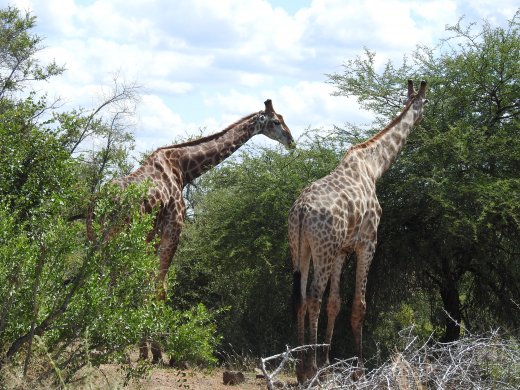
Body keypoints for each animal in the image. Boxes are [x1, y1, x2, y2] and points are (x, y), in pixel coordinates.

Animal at [87, 99, 294, 362]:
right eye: (276, 121)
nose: (291, 141)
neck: (184, 169)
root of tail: (96, 205)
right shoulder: (174, 227)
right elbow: (160, 289)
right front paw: (157, 353)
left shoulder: (151, 236)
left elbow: (146, 285)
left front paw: (144, 351)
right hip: (113, 238)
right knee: (106, 282)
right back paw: (107, 348)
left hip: (96, 240)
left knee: (96, 280)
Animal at [288, 79, 426, 380]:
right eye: (425, 103)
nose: (422, 119)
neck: (374, 167)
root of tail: (301, 210)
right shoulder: (368, 243)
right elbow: (358, 306)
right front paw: (358, 368)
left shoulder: (342, 250)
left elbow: (335, 303)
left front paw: (328, 362)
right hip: (323, 249)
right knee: (314, 296)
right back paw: (311, 368)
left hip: (300, 247)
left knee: (301, 297)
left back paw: (301, 367)